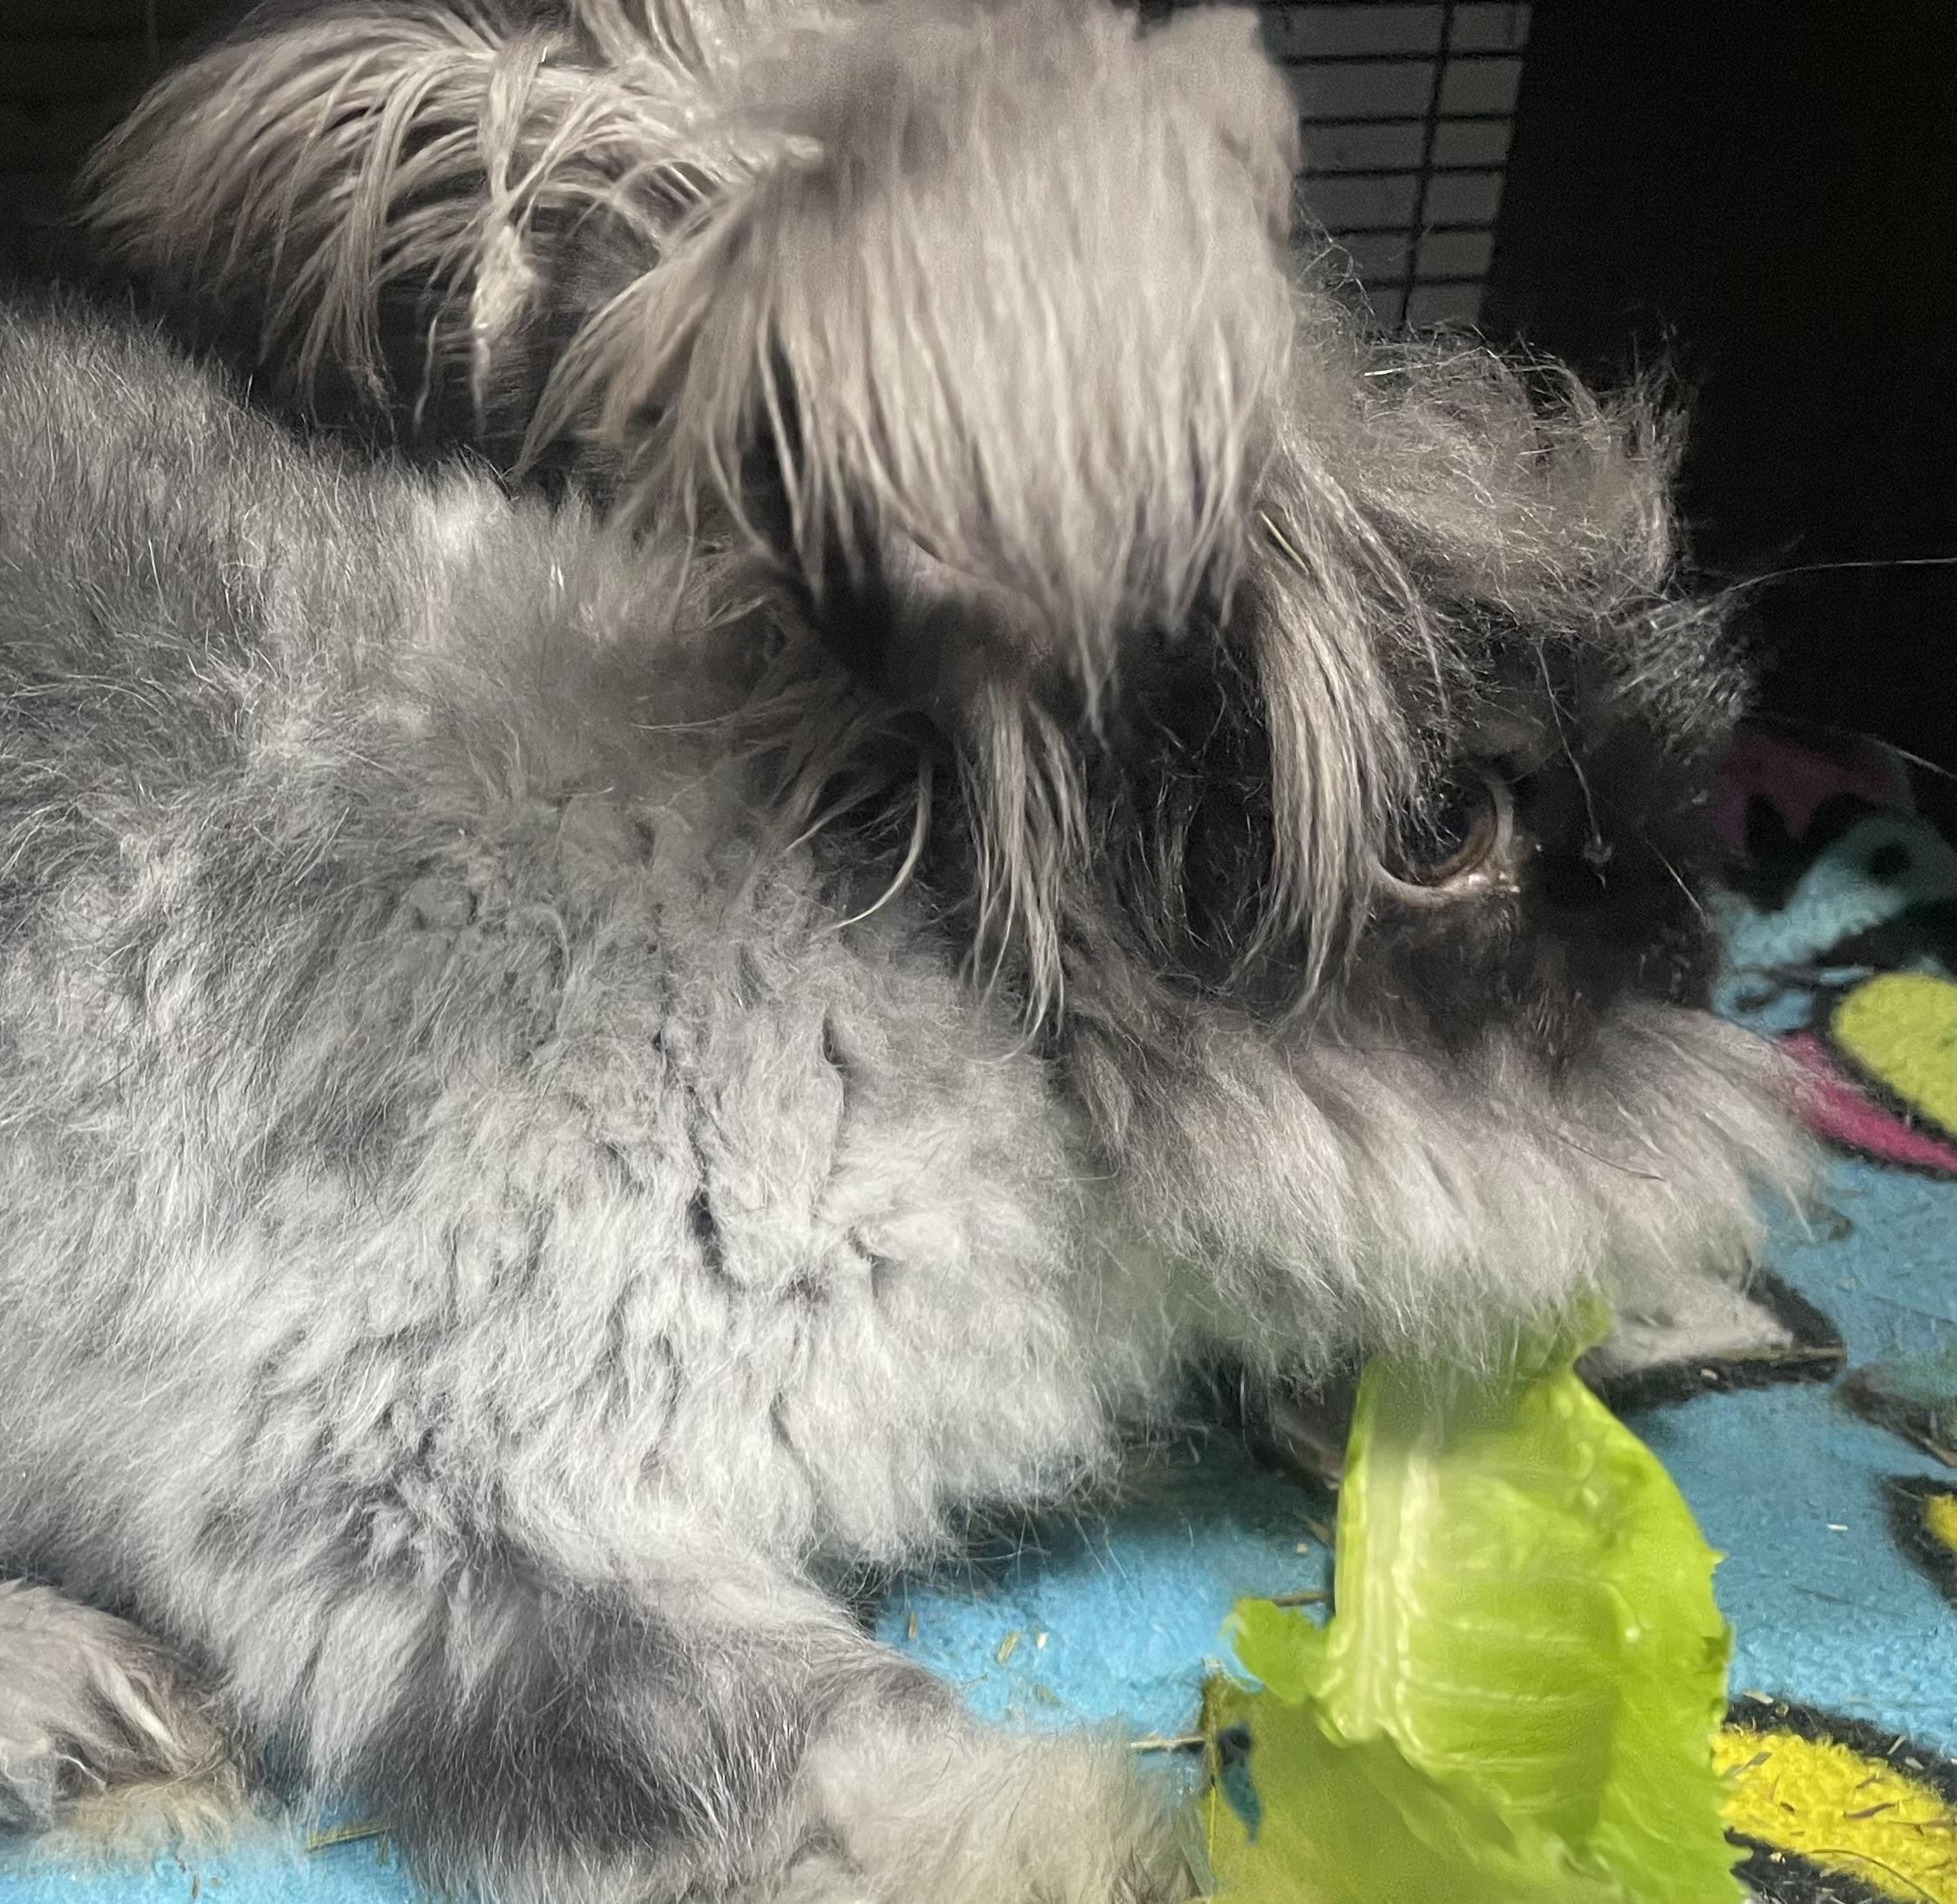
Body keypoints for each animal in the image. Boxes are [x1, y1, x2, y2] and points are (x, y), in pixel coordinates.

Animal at [0, 1, 1805, 1899]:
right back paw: (92, 1704)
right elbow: (818, 1754)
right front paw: (1124, 1848)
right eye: (1449, 826)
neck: (904, 993)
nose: (1697, 953)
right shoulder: (411, 1485)